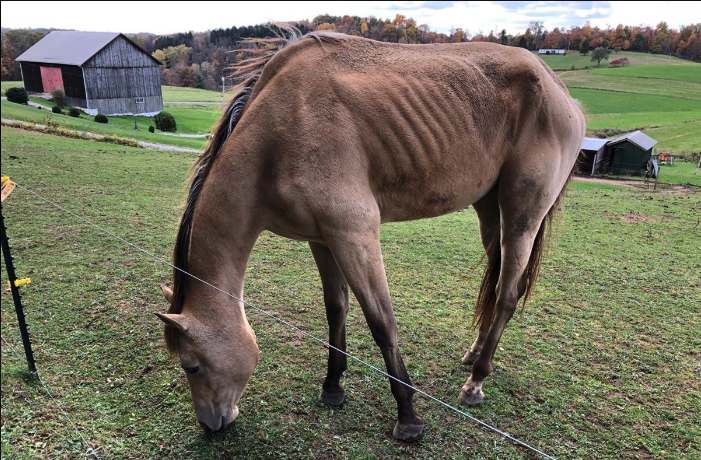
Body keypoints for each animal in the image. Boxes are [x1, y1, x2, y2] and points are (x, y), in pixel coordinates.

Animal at [156, 30, 584, 440]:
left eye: (192, 367)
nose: (211, 425)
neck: (279, 129)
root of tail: (560, 91)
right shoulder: (322, 239)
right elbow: (336, 309)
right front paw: (332, 387)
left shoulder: (355, 234)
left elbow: (382, 322)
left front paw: (408, 417)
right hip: (489, 213)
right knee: (495, 288)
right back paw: (475, 354)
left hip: (521, 216)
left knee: (508, 294)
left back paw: (476, 381)